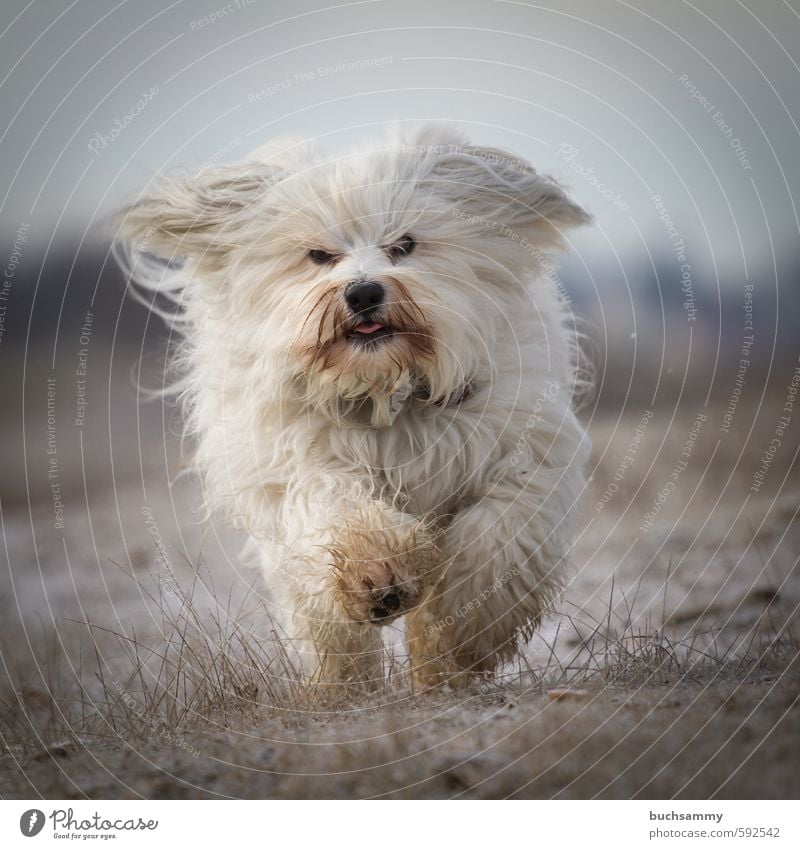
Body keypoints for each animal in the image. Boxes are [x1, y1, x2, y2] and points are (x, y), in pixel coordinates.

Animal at [119, 121, 592, 688]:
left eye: (404, 244)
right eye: (319, 256)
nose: (363, 292)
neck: (384, 389)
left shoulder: (524, 450)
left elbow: (495, 536)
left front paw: (455, 643)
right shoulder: (300, 464)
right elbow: (339, 510)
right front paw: (378, 576)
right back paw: (343, 684)